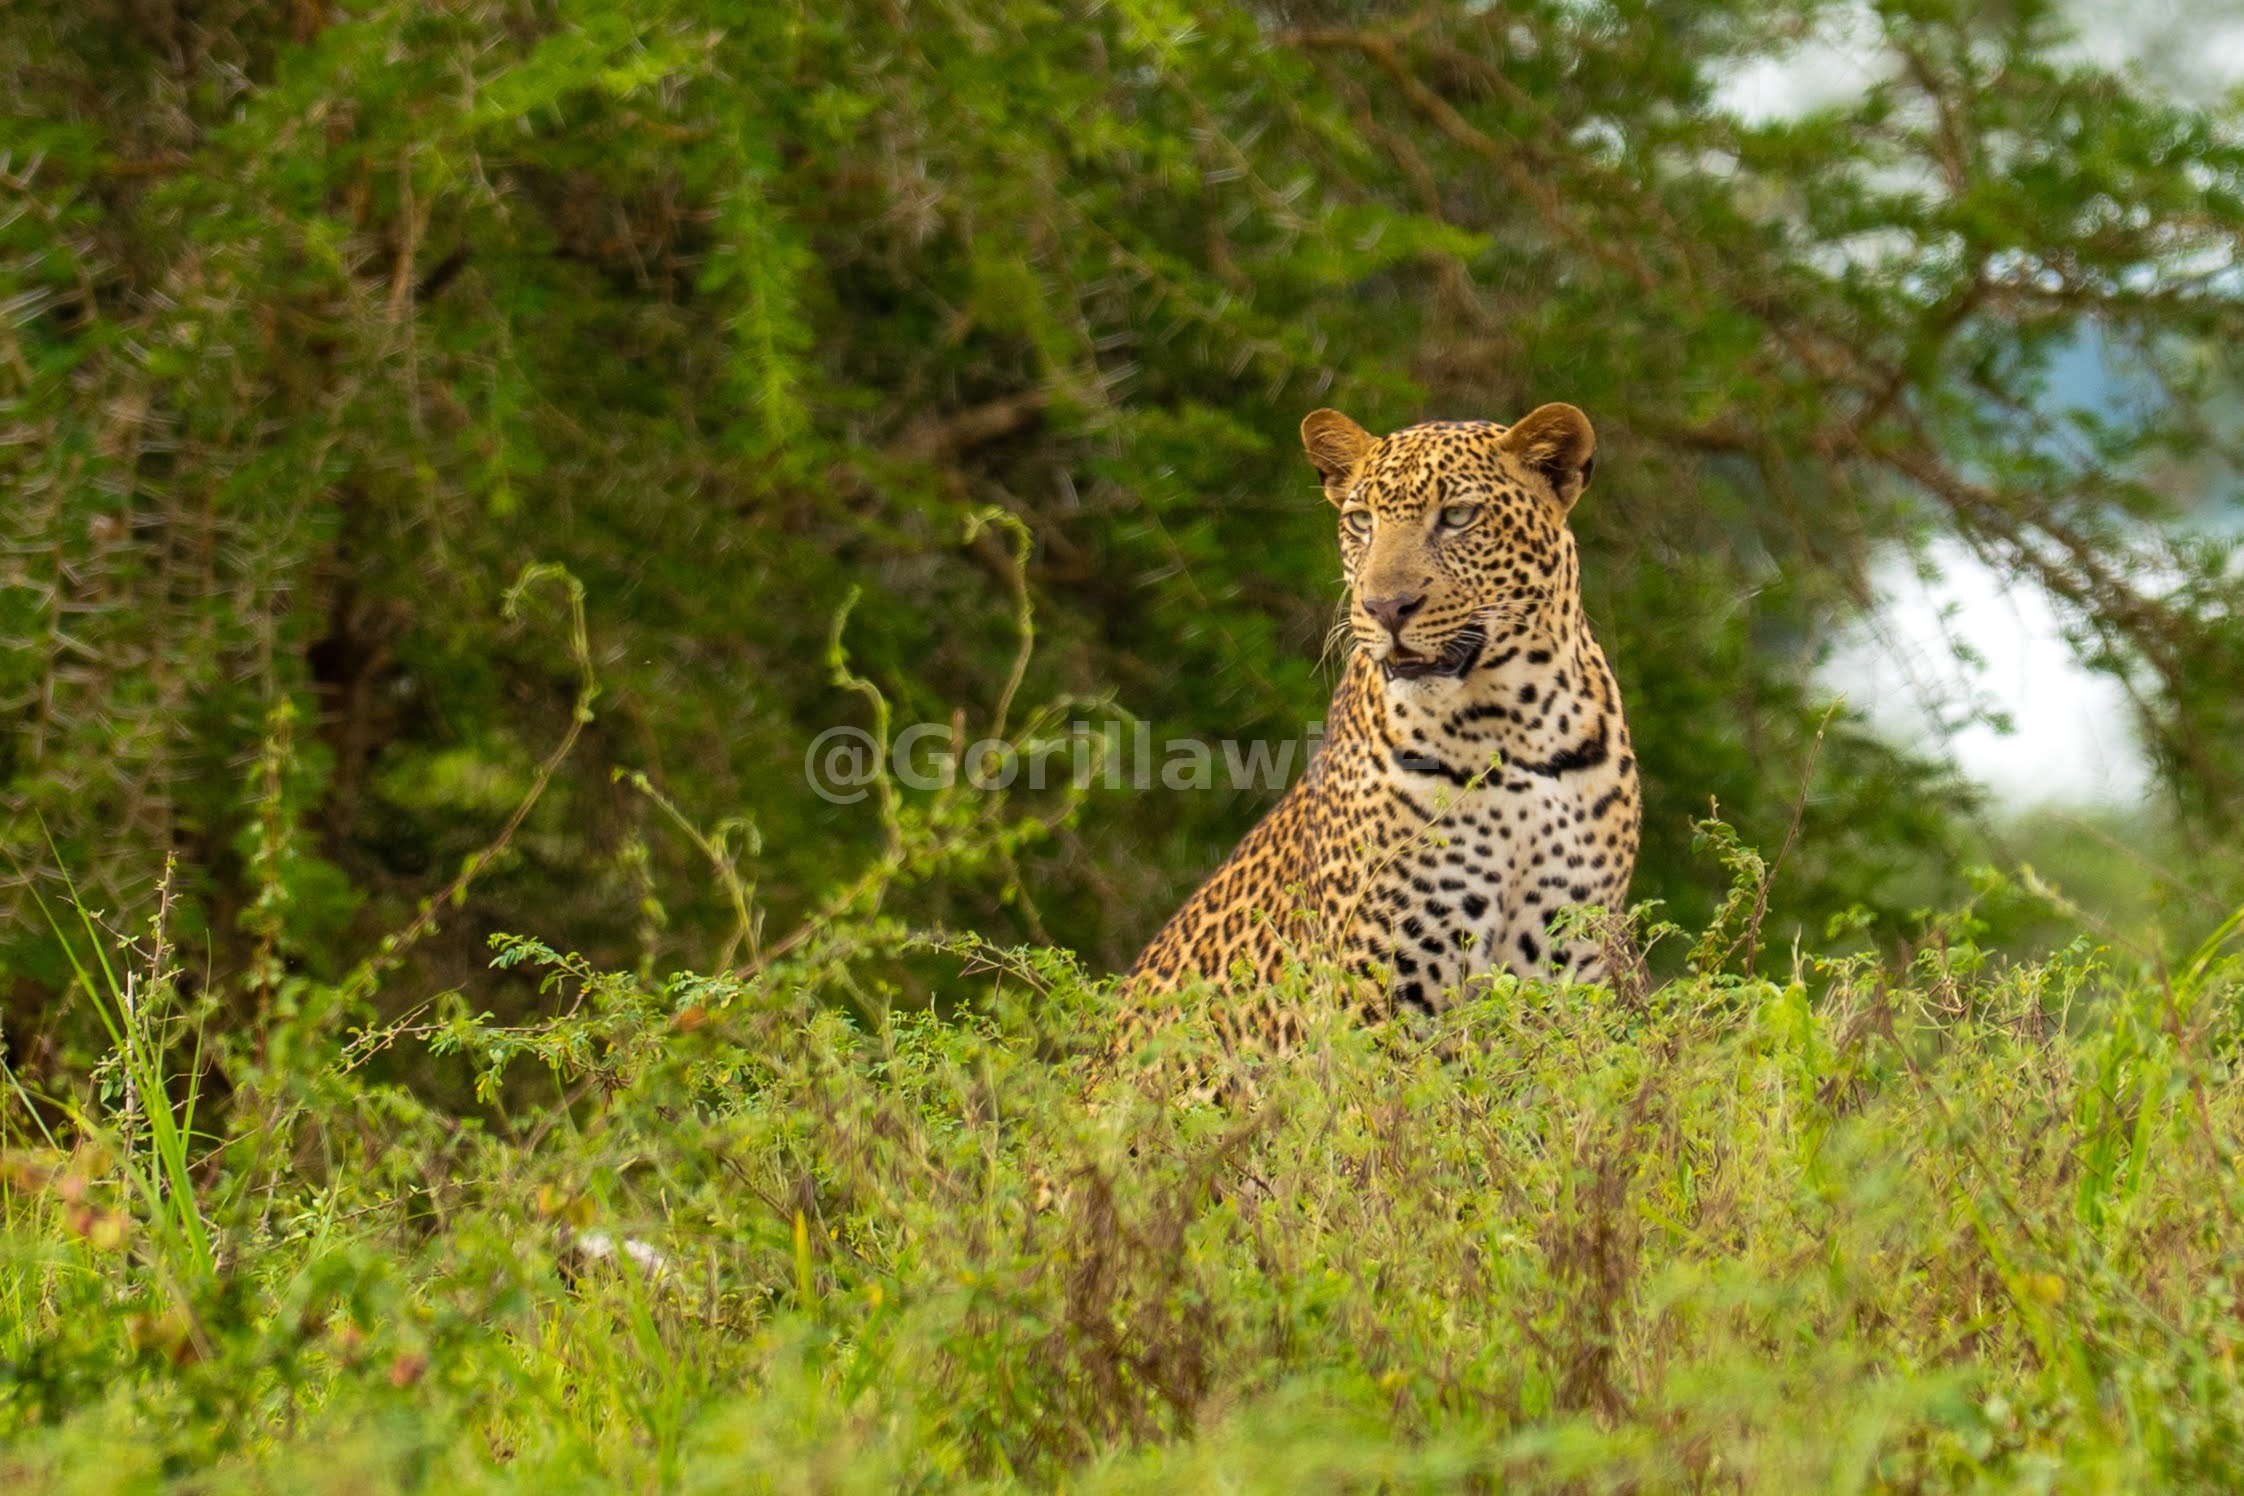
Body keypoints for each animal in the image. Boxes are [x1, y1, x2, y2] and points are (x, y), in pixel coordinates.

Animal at [1124, 402, 1642, 1048]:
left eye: (1458, 516)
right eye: (1361, 522)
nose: (1385, 608)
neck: (1510, 726)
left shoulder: (1566, 966)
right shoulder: (1381, 989)